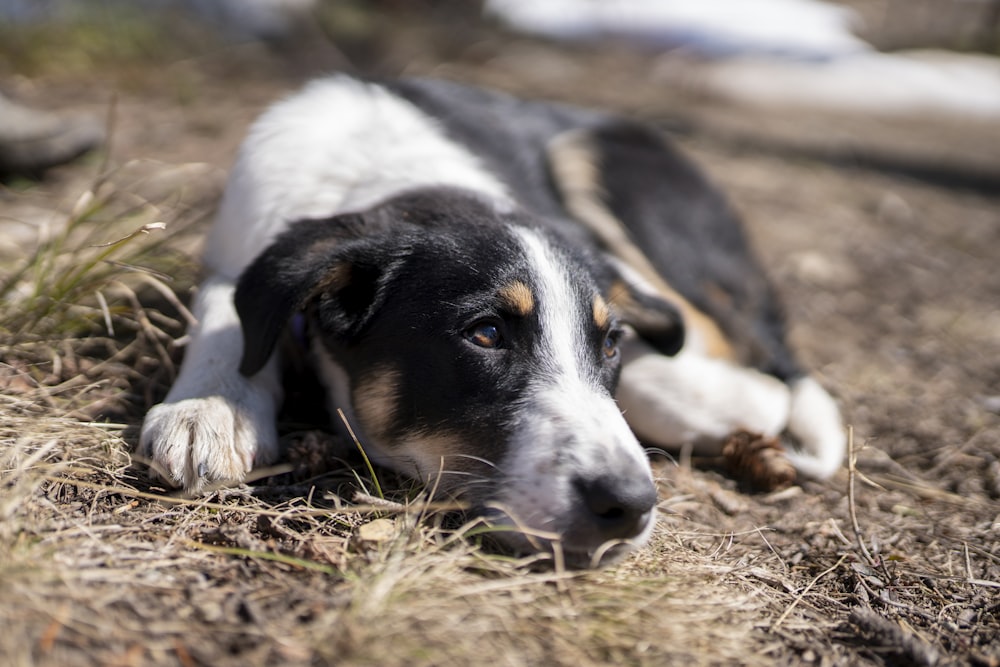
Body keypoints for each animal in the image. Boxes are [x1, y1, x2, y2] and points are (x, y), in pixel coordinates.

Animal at [141, 75, 844, 568]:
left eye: (609, 343)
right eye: (485, 334)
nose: (630, 507)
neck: (398, 176)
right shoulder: (235, 251)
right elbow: (226, 308)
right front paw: (210, 409)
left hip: (606, 165)